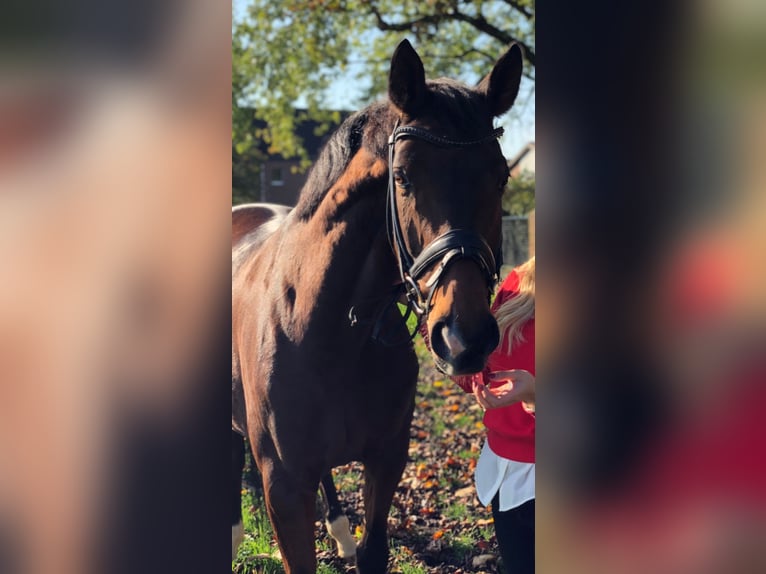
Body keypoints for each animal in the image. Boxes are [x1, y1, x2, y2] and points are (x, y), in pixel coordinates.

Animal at [231, 38, 524, 572]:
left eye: (501, 178)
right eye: (403, 176)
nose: (464, 338)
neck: (331, 329)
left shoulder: (386, 461)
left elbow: (372, 550)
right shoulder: (283, 487)